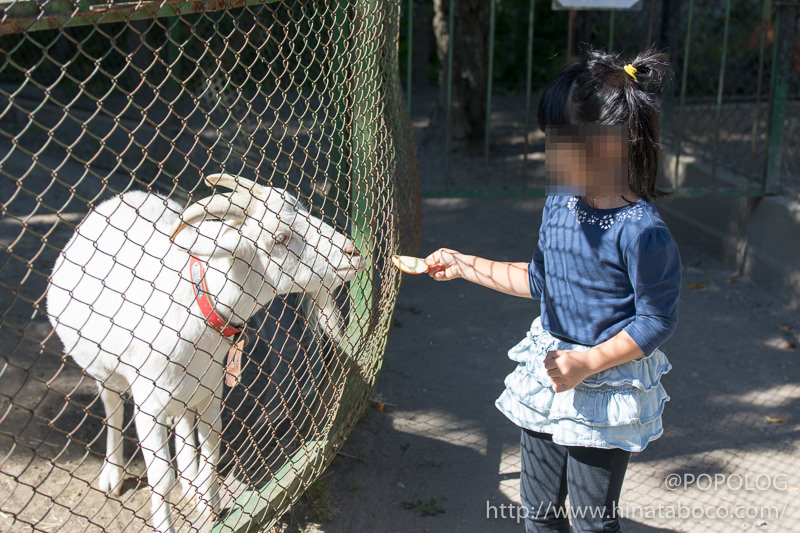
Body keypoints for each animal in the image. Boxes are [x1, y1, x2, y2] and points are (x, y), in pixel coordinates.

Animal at [45, 174, 364, 528]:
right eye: (279, 238)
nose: (353, 252)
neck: (199, 300)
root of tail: (119, 199)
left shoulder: (211, 389)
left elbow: (212, 449)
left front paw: (210, 507)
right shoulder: (149, 404)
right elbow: (161, 478)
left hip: (190, 388)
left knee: (183, 420)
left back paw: (192, 481)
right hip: (106, 372)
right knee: (112, 406)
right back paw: (113, 475)